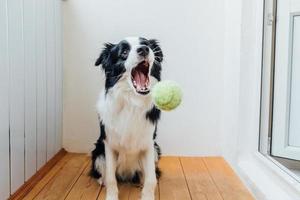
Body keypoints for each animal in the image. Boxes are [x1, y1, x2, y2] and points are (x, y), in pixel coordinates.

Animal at [90, 36, 164, 200]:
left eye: (146, 44)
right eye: (124, 52)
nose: (144, 49)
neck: (132, 101)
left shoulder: (149, 144)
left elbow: (151, 179)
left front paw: (147, 196)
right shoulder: (108, 144)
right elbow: (111, 177)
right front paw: (111, 196)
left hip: (157, 149)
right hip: (98, 151)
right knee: (104, 173)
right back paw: (102, 180)